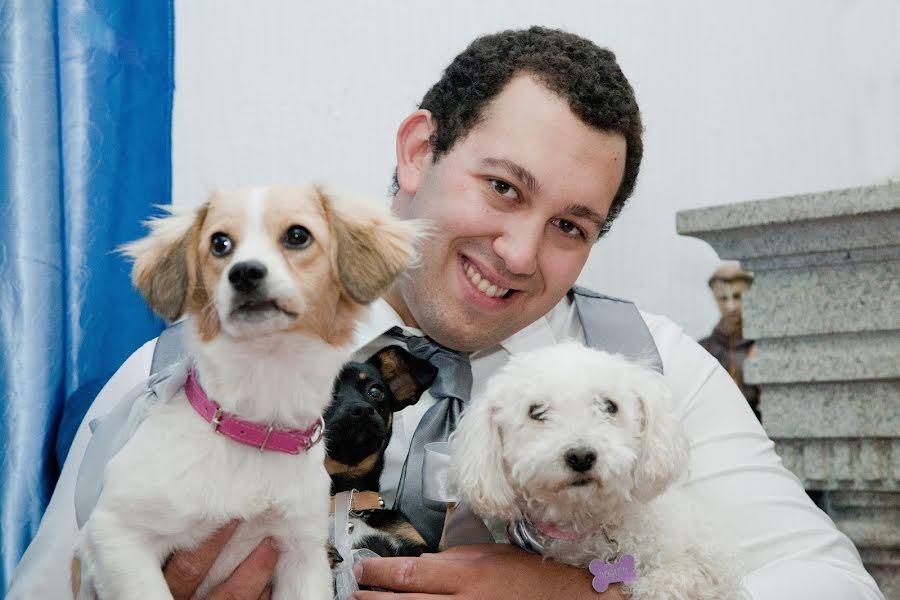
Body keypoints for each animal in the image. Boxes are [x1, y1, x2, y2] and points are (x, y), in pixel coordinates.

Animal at [74, 185, 418, 600]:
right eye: (219, 243)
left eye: (298, 236)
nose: (245, 273)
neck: (256, 435)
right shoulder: (118, 536)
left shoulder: (303, 557)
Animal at [450, 342, 740, 600]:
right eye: (536, 411)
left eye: (610, 406)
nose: (581, 457)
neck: (585, 522)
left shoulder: (709, 556)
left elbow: (679, 576)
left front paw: (647, 588)